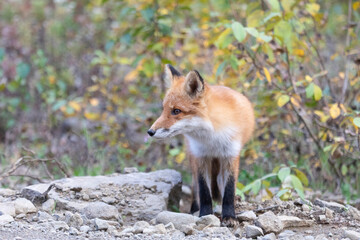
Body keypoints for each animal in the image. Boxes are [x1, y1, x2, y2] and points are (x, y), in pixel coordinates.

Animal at [148, 64, 255, 226]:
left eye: (176, 111)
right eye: (164, 109)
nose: (150, 131)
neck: (212, 138)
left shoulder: (231, 154)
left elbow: (229, 189)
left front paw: (229, 216)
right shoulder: (200, 156)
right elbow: (204, 190)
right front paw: (205, 214)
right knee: (195, 188)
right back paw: (194, 209)